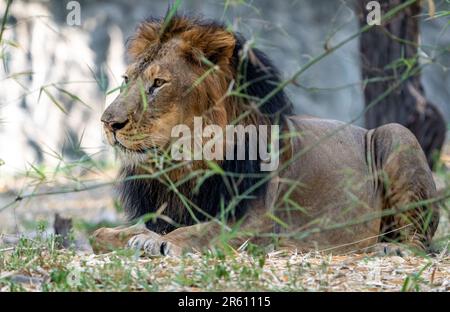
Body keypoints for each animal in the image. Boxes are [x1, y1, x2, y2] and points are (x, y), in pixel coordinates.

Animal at [91, 15, 440, 258]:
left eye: (159, 83)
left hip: (397, 134)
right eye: (126, 79)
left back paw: (390, 248)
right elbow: (100, 236)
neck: (187, 162)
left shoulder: (258, 224)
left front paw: (155, 242)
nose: (108, 122)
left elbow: (201, 231)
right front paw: (129, 237)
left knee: (419, 240)